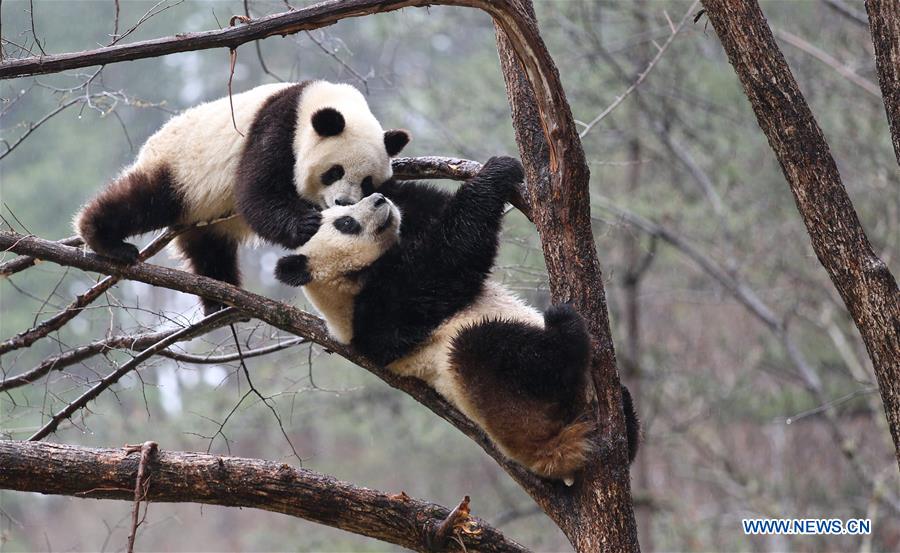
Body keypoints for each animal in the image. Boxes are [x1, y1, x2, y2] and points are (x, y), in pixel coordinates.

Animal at [75, 80, 410, 314]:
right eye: (334, 171)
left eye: (367, 181)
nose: (343, 203)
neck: (324, 100)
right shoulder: (277, 127)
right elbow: (257, 191)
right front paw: (305, 225)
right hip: (180, 171)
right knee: (143, 201)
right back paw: (105, 239)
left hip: (206, 215)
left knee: (210, 249)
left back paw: (220, 299)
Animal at [274, 156, 639, 482]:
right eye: (345, 224)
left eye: (347, 209)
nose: (378, 201)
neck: (346, 286)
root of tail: (551, 456)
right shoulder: (380, 314)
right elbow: (448, 260)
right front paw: (498, 170)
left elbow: (430, 208)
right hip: (505, 402)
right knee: (487, 347)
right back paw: (566, 329)